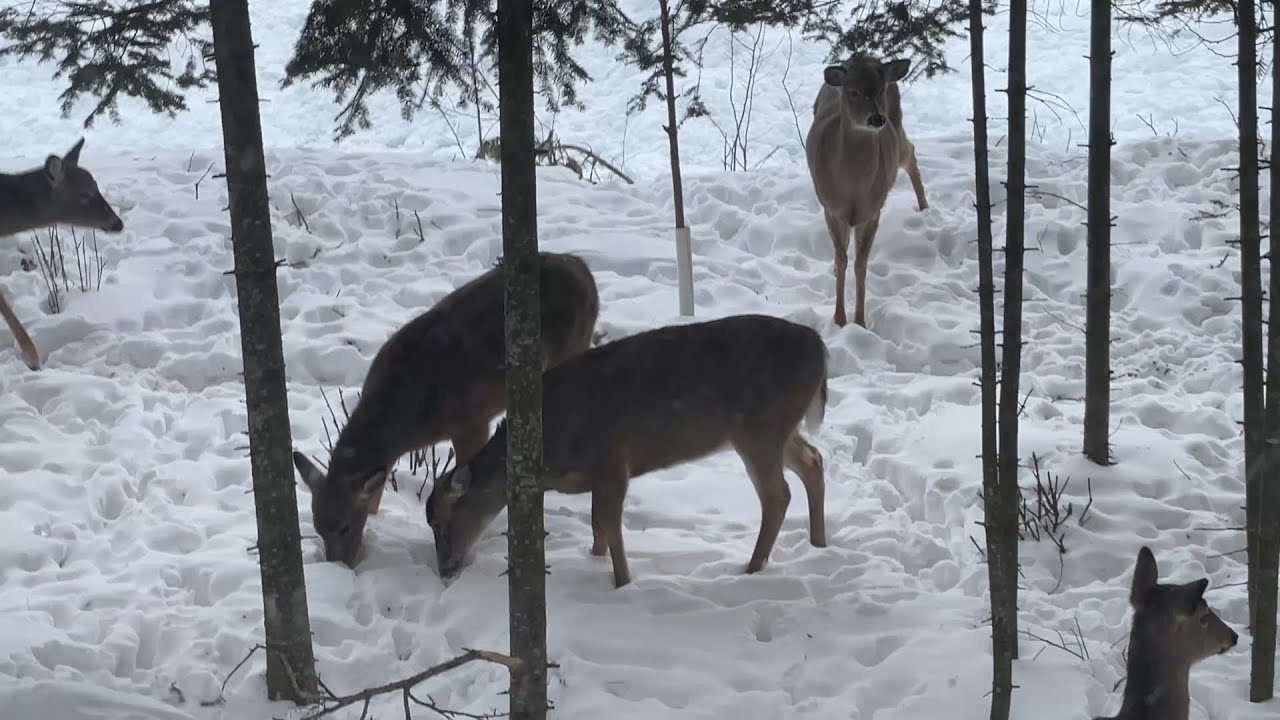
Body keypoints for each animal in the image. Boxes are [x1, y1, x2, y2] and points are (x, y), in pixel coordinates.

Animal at [292, 252, 599, 567]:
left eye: (345, 527)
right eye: (316, 525)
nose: (339, 565)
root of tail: (583, 269)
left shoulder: (472, 420)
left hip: (572, 347)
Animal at [425, 312, 829, 589]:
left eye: (442, 523)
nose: (445, 569)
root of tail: (819, 348)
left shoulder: (612, 458)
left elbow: (609, 522)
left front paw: (622, 583)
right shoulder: (596, 473)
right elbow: (596, 525)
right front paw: (595, 561)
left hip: (759, 429)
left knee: (778, 494)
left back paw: (752, 568)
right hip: (776, 428)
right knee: (813, 460)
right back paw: (818, 544)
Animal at [805, 55, 928, 329]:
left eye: (880, 89)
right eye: (853, 92)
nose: (877, 119)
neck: (852, 185)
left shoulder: (872, 210)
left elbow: (861, 265)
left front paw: (859, 322)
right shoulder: (832, 208)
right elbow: (843, 259)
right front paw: (840, 320)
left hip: (898, 136)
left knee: (911, 152)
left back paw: (925, 207)